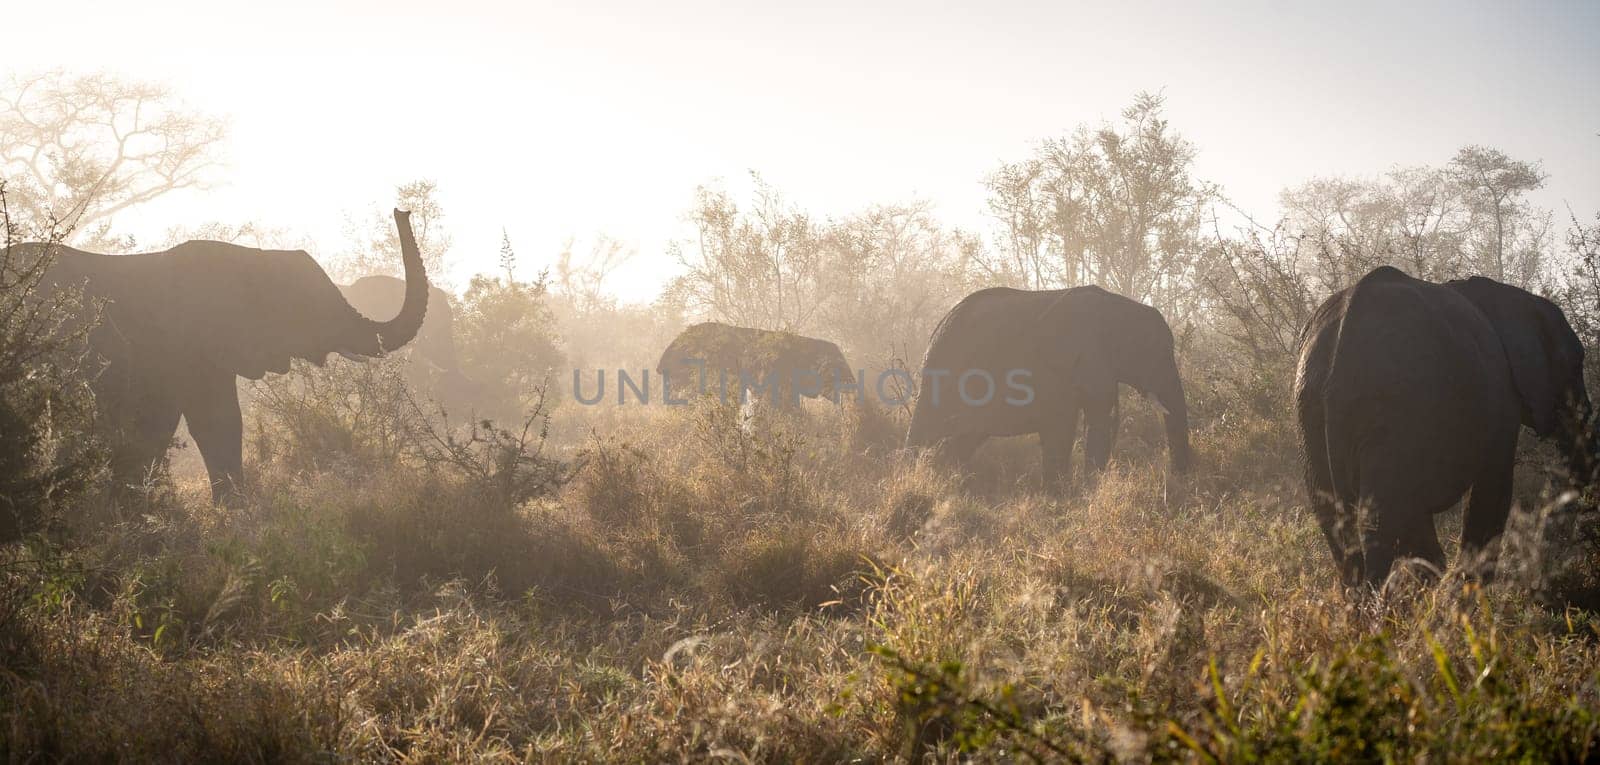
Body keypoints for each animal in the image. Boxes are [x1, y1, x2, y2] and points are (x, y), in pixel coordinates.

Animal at [32, 208, 432, 502]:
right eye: (307, 305)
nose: (401, 209)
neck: (250, 259)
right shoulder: (187, 347)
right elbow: (199, 422)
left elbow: (210, 421)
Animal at [902, 283, 1190, 492]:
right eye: (1156, 354)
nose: (1178, 479)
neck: (1118, 308)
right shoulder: (1070, 363)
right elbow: (1067, 424)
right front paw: (1065, 494)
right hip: (943, 371)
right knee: (926, 429)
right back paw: (914, 480)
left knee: (966, 437)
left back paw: (951, 482)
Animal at [1292, 264, 1593, 592]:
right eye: (1576, 364)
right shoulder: (1500, 395)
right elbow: (1493, 487)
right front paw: (1469, 592)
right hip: (1389, 406)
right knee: (1380, 516)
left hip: (1312, 411)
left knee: (1336, 515)